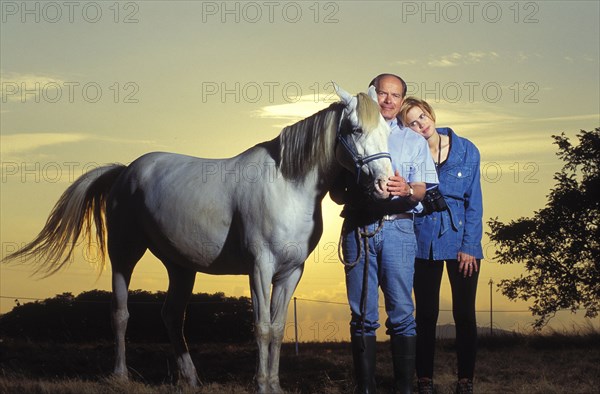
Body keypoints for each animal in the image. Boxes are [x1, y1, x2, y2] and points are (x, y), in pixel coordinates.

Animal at [4, 84, 394, 392]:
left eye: (386, 131)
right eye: (356, 129)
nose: (385, 185)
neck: (287, 184)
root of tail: (125, 171)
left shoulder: (290, 273)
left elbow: (279, 329)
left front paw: (275, 384)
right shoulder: (260, 268)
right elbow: (262, 328)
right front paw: (261, 385)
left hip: (180, 267)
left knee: (172, 315)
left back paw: (190, 378)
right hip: (124, 254)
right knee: (120, 313)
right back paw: (120, 376)